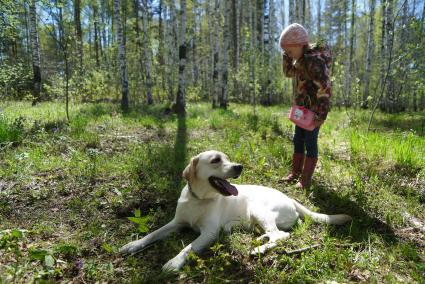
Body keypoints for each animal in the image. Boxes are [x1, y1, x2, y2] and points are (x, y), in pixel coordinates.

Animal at [119, 150, 352, 272]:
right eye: (215, 160)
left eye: (228, 158)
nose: (239, 167)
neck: (199, 200)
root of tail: (291, 199)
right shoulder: (176, 223)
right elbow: (153, 233)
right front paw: (132, 245)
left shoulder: (209, 233)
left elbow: (188, 248)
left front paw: (174, 262)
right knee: (272, 233)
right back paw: (258, 239)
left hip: (259, 209)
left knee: (281, 235)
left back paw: (258, 249)